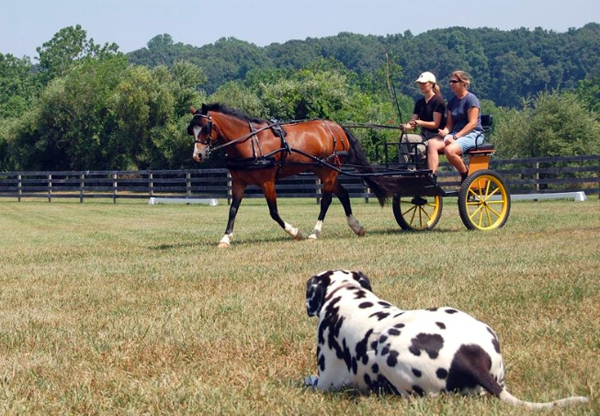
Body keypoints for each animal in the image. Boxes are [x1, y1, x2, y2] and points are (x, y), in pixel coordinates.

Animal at [189, 103, 394, 247]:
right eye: (192, 129)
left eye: (206, 128)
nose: (197, 155)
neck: (249, 142)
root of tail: (337, 127)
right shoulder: (239, 182)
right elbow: (233, 210)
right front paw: (225, 238)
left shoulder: (267, 182)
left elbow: (273, 212)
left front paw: (295, 232)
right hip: (322, 169)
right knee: (343, 194)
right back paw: (356, 227)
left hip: (330, 170)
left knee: (326, 200)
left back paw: (314, 233)